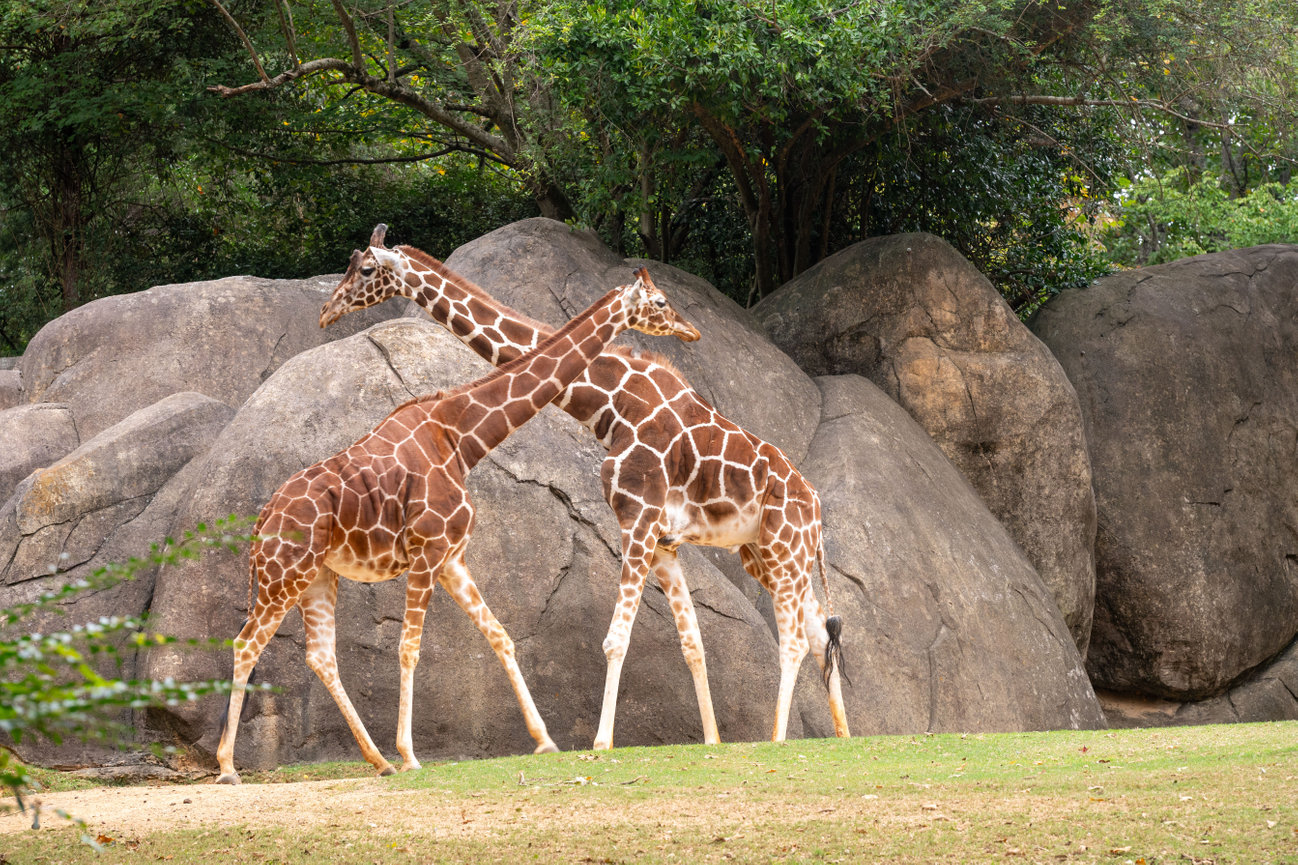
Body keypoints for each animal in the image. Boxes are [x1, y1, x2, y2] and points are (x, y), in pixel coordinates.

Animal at [214, 270, 700, 784]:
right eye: (659, 302)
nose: (689, 331)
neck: (462, 438)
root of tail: (262, 519)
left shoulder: (452, 558)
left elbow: (499, 634)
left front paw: (545, 741)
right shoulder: (427, 552)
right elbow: (409, 648)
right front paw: (411, 753)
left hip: (317, 576)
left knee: (320, 655)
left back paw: (378, 761)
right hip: (284, 575)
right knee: (246, 643)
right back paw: (228, 766)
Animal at [319, 225, 851, 749]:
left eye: (366, 270)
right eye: (351, 266)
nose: (326, 312)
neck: (611, 406)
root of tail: (818, 509)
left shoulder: (638, 519)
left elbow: (616, 638)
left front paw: (601, 742)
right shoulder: (660, 538)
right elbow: (692, 643)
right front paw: (712, 740)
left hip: (784, 549)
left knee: (795, 640)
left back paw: (778, 739)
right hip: (768, 554)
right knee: (819, 634)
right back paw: (843, 735)